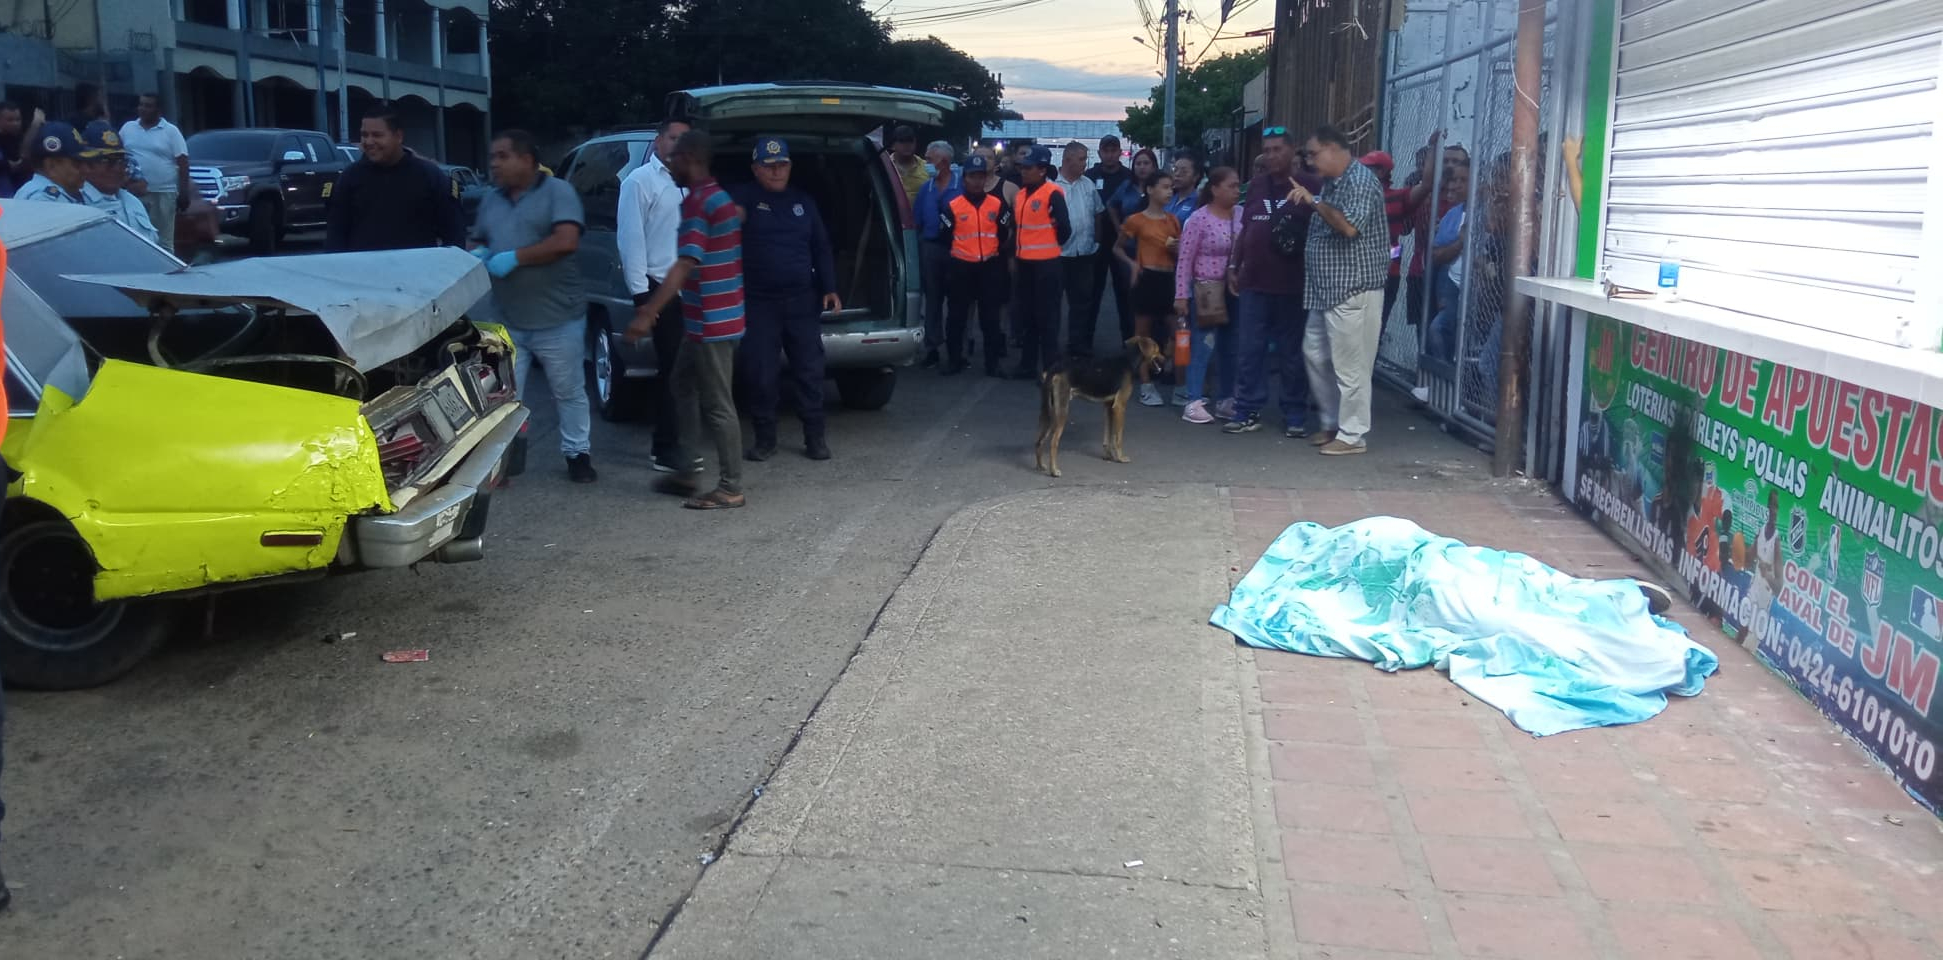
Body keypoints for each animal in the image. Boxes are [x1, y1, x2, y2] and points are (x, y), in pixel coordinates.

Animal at [1041, 336, 1158, 478]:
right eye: (1158, 349)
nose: (1164, 358)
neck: (1128, 360)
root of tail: (1055, 368)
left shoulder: (1109, 407)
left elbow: (1107, 436)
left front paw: (1108, 456)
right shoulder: (1120, 406)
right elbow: (1118, 437)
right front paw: (1120, 458)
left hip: (1049, 414)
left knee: (1039, 441)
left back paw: (1040, 466)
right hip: (1061, 412)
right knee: (1053, 442)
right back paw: (1054, 471)